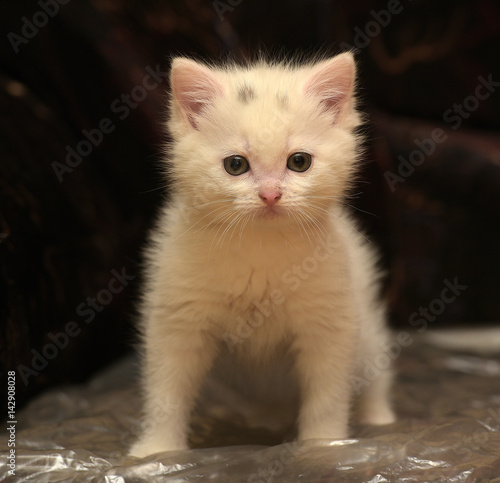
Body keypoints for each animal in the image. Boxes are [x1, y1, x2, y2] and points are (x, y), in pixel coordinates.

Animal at [129, 53, 394, 458]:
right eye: (235, 165)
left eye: (299, 161)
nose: (270, 195)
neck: (261, 244)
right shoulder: (177, 316)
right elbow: (167, 387)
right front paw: (156, 451)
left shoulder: (330, 320)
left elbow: (328, 393)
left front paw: (323, 445)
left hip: (366, 328)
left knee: (375, 369)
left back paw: (378, 416)